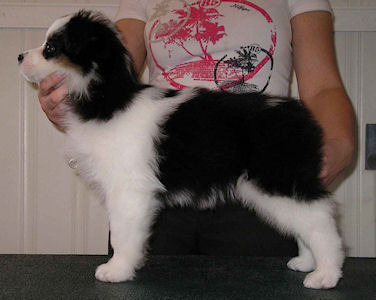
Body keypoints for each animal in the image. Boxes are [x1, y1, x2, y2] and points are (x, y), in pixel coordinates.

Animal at [19, 11, 346, 288]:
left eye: (51, 47)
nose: (20, 55)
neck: (107, 100)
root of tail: (300, 116)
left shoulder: (129, 190)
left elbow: (123, 235)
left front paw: (117, 270)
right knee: (307, 223)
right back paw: (306, 262)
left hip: (278, 181)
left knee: (322, 224)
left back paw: (326, 273)